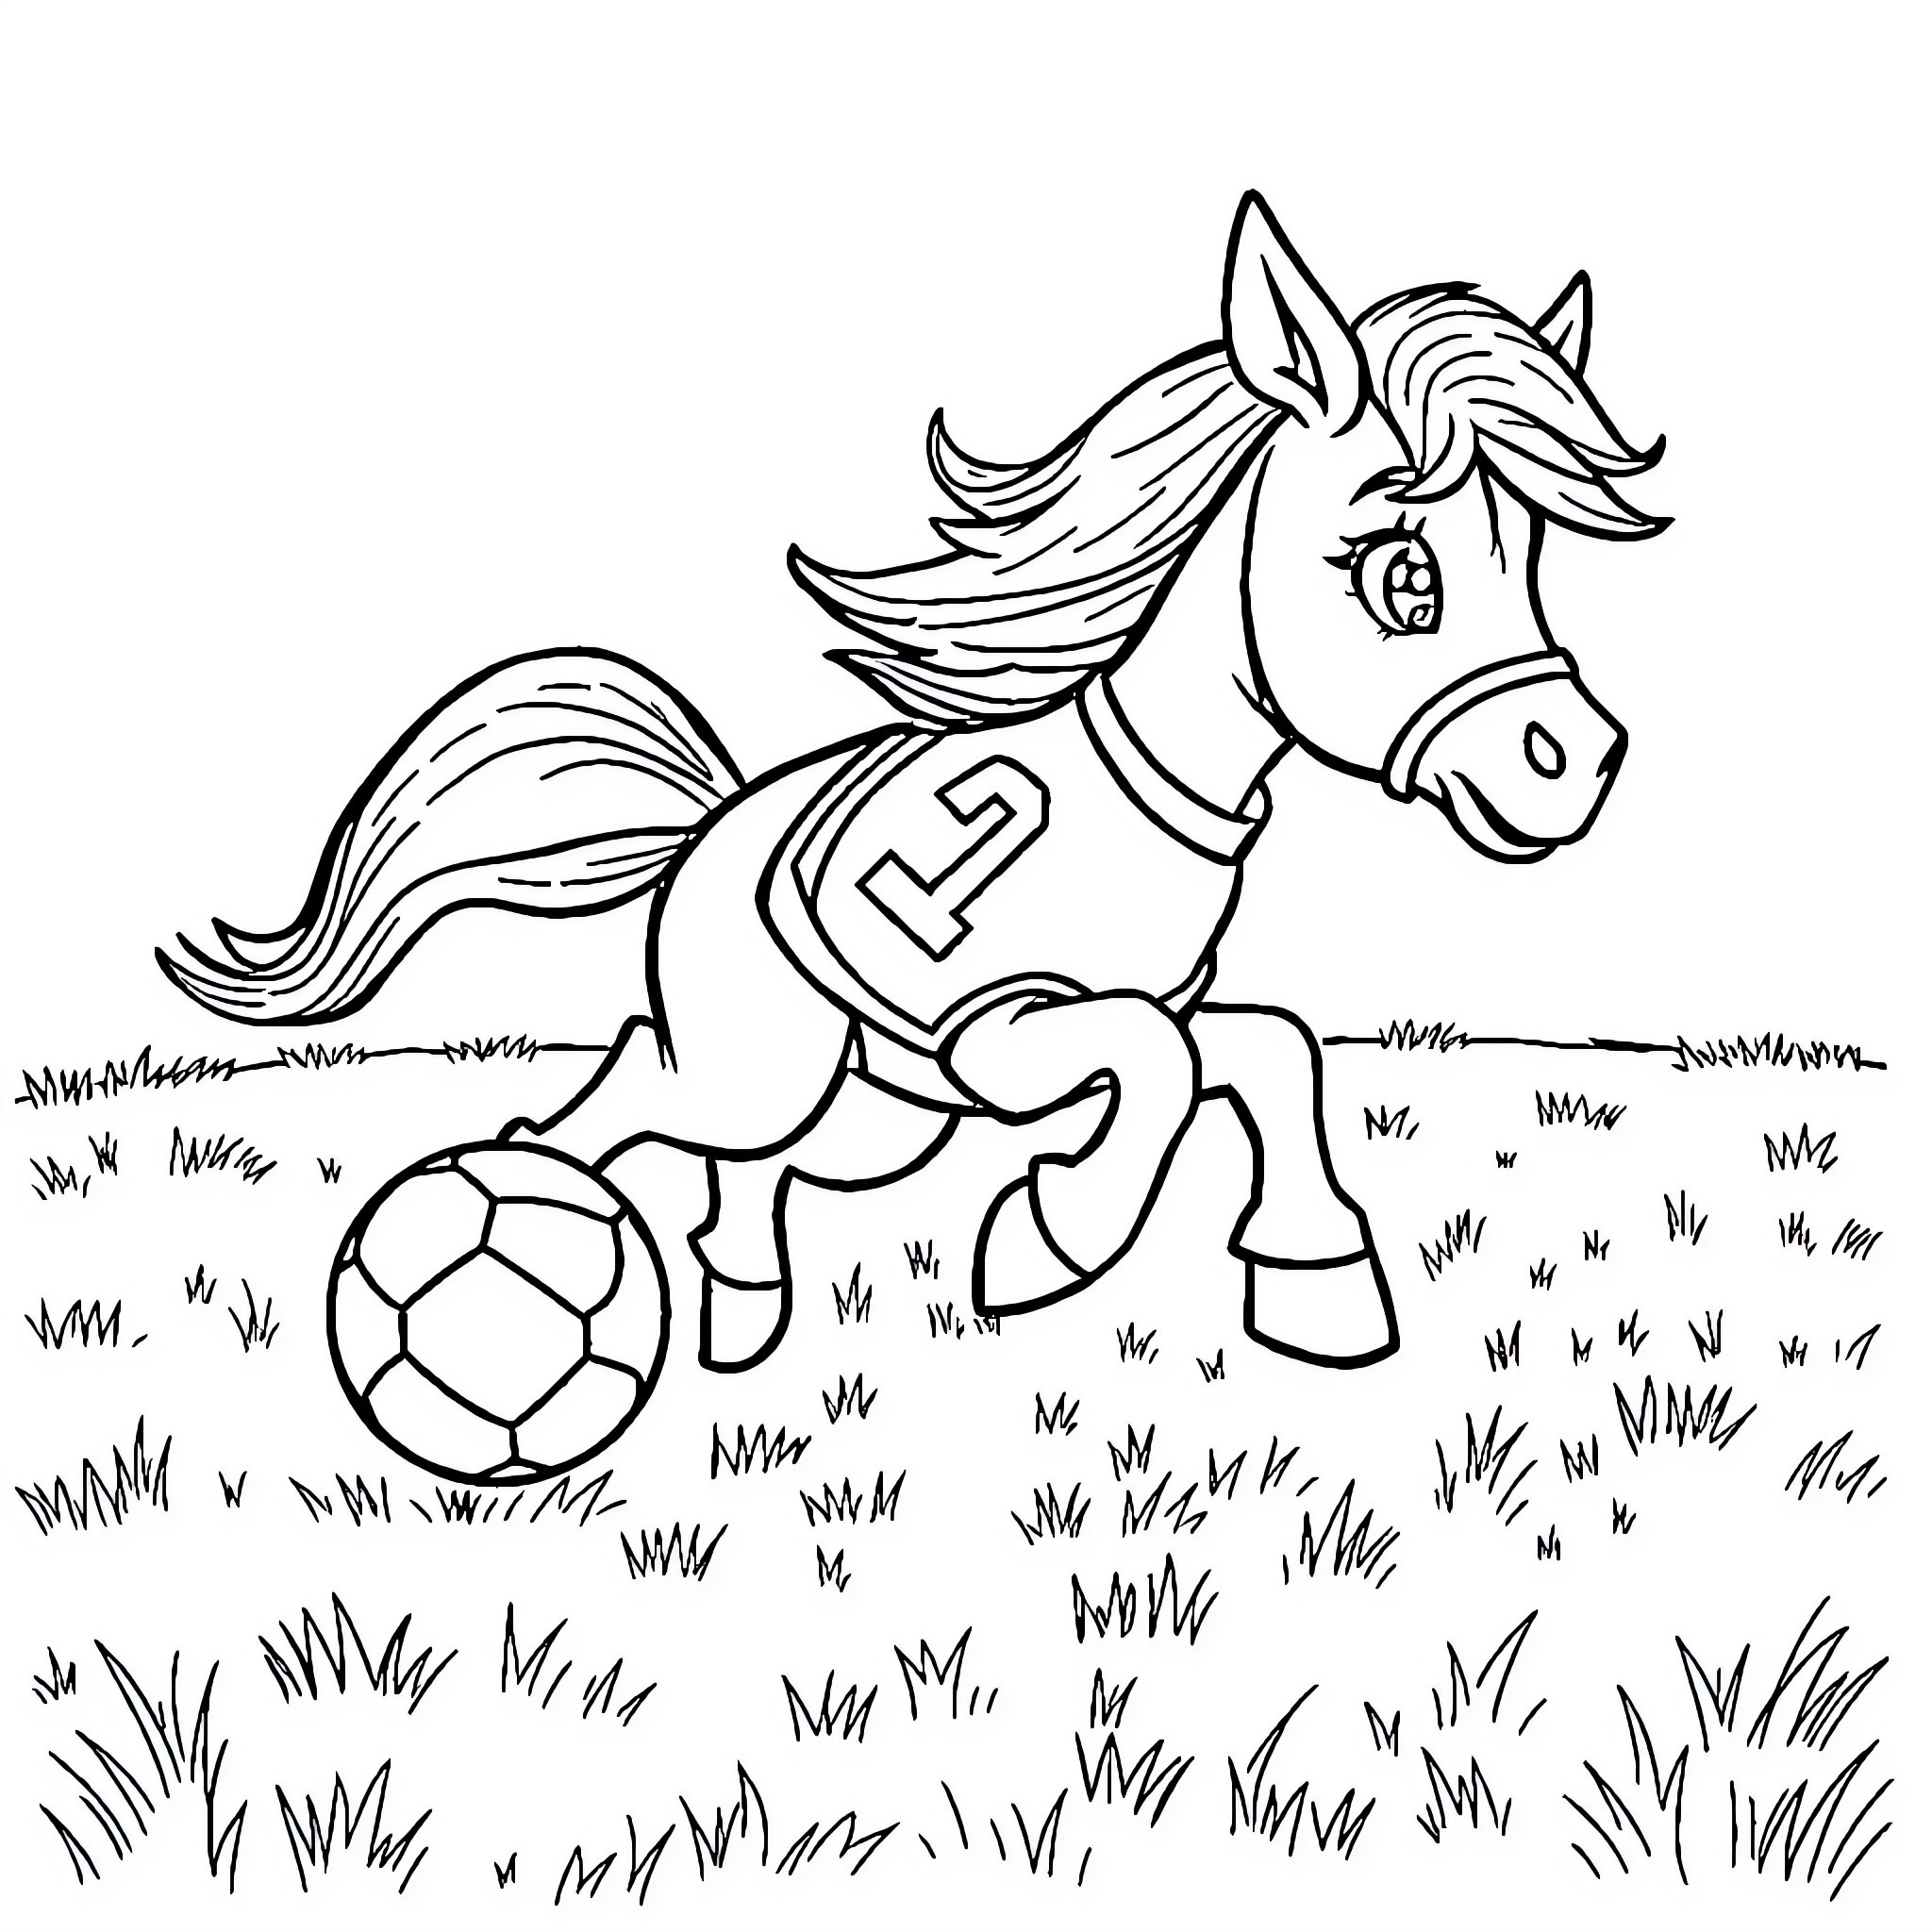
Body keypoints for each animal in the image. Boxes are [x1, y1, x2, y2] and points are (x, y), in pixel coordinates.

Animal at [160, 192, 1666, 1376]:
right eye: (1401, 572)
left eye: (1532, 558)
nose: (1575, 760)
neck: (1145, 802)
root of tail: (704, 832)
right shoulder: (996, 1031)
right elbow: (1158, 1058)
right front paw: (1054, 1239)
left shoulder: (1118, 1023)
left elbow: (1264, 1049)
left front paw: (1316, 1283)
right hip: (767, 1070)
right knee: (622, 1101)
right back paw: (524, 1216)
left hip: (865, 1115)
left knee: (736, 1159)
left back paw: (739, 1305)